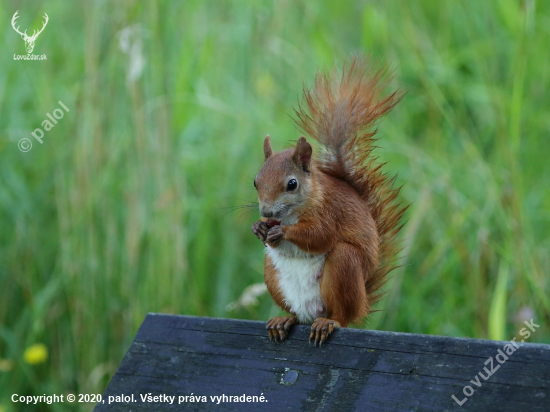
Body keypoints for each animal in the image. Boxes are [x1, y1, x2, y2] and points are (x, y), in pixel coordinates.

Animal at [252, 58, 408, 346]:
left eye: (292, 184)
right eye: (255, 182)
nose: (266, 211)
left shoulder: (331, 213)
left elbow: (320, 235)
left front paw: (284, 231)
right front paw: (259, 227)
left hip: (344, 266)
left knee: (342, 315)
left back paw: (328, 322)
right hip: (273, 275)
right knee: (297, 315)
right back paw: (284, 320)